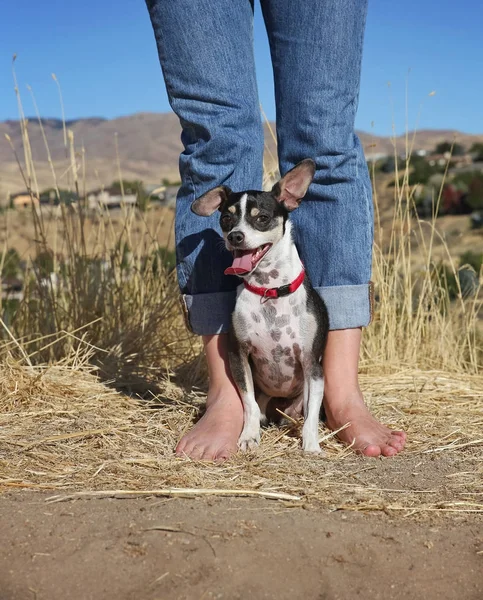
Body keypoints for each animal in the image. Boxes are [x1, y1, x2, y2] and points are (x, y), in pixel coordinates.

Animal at [191, 161, 330, 454]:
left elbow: (311, 414)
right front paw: (249, 435)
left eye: (262, 218)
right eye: (226, 218)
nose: (235, 236)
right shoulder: (239, 356)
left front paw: (311, 444)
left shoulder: (312, 364)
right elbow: (250, 404)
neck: (269, 290)